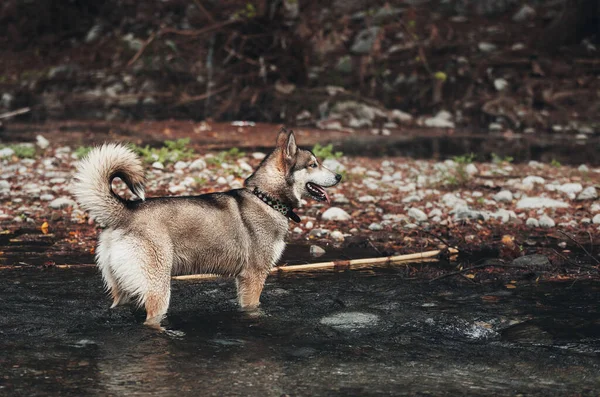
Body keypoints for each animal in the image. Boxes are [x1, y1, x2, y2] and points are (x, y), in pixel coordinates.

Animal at [72, 127, 340, 328]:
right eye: (313, 164)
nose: (339, 176)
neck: (266, 198)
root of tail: (126, 211)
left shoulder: (242, 280)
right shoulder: (254, 277)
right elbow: (253, 308)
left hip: (123, 291)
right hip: (158, 289)